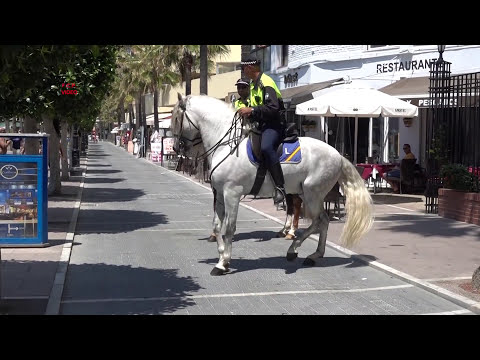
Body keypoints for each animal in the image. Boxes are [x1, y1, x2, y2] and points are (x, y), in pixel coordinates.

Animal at [171, 93, 374, 276]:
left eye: (176, 119)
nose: (175, 148)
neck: (226, 146)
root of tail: (338, 155)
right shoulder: (220, 193)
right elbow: (216, 225)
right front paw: (221, 257)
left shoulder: (232, 193)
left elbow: (229, 228)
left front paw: (223, 263)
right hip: (305, 193)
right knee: (322, 221)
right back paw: (313, 255)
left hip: (312, 194)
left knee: (320, 221)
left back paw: (296, 250)